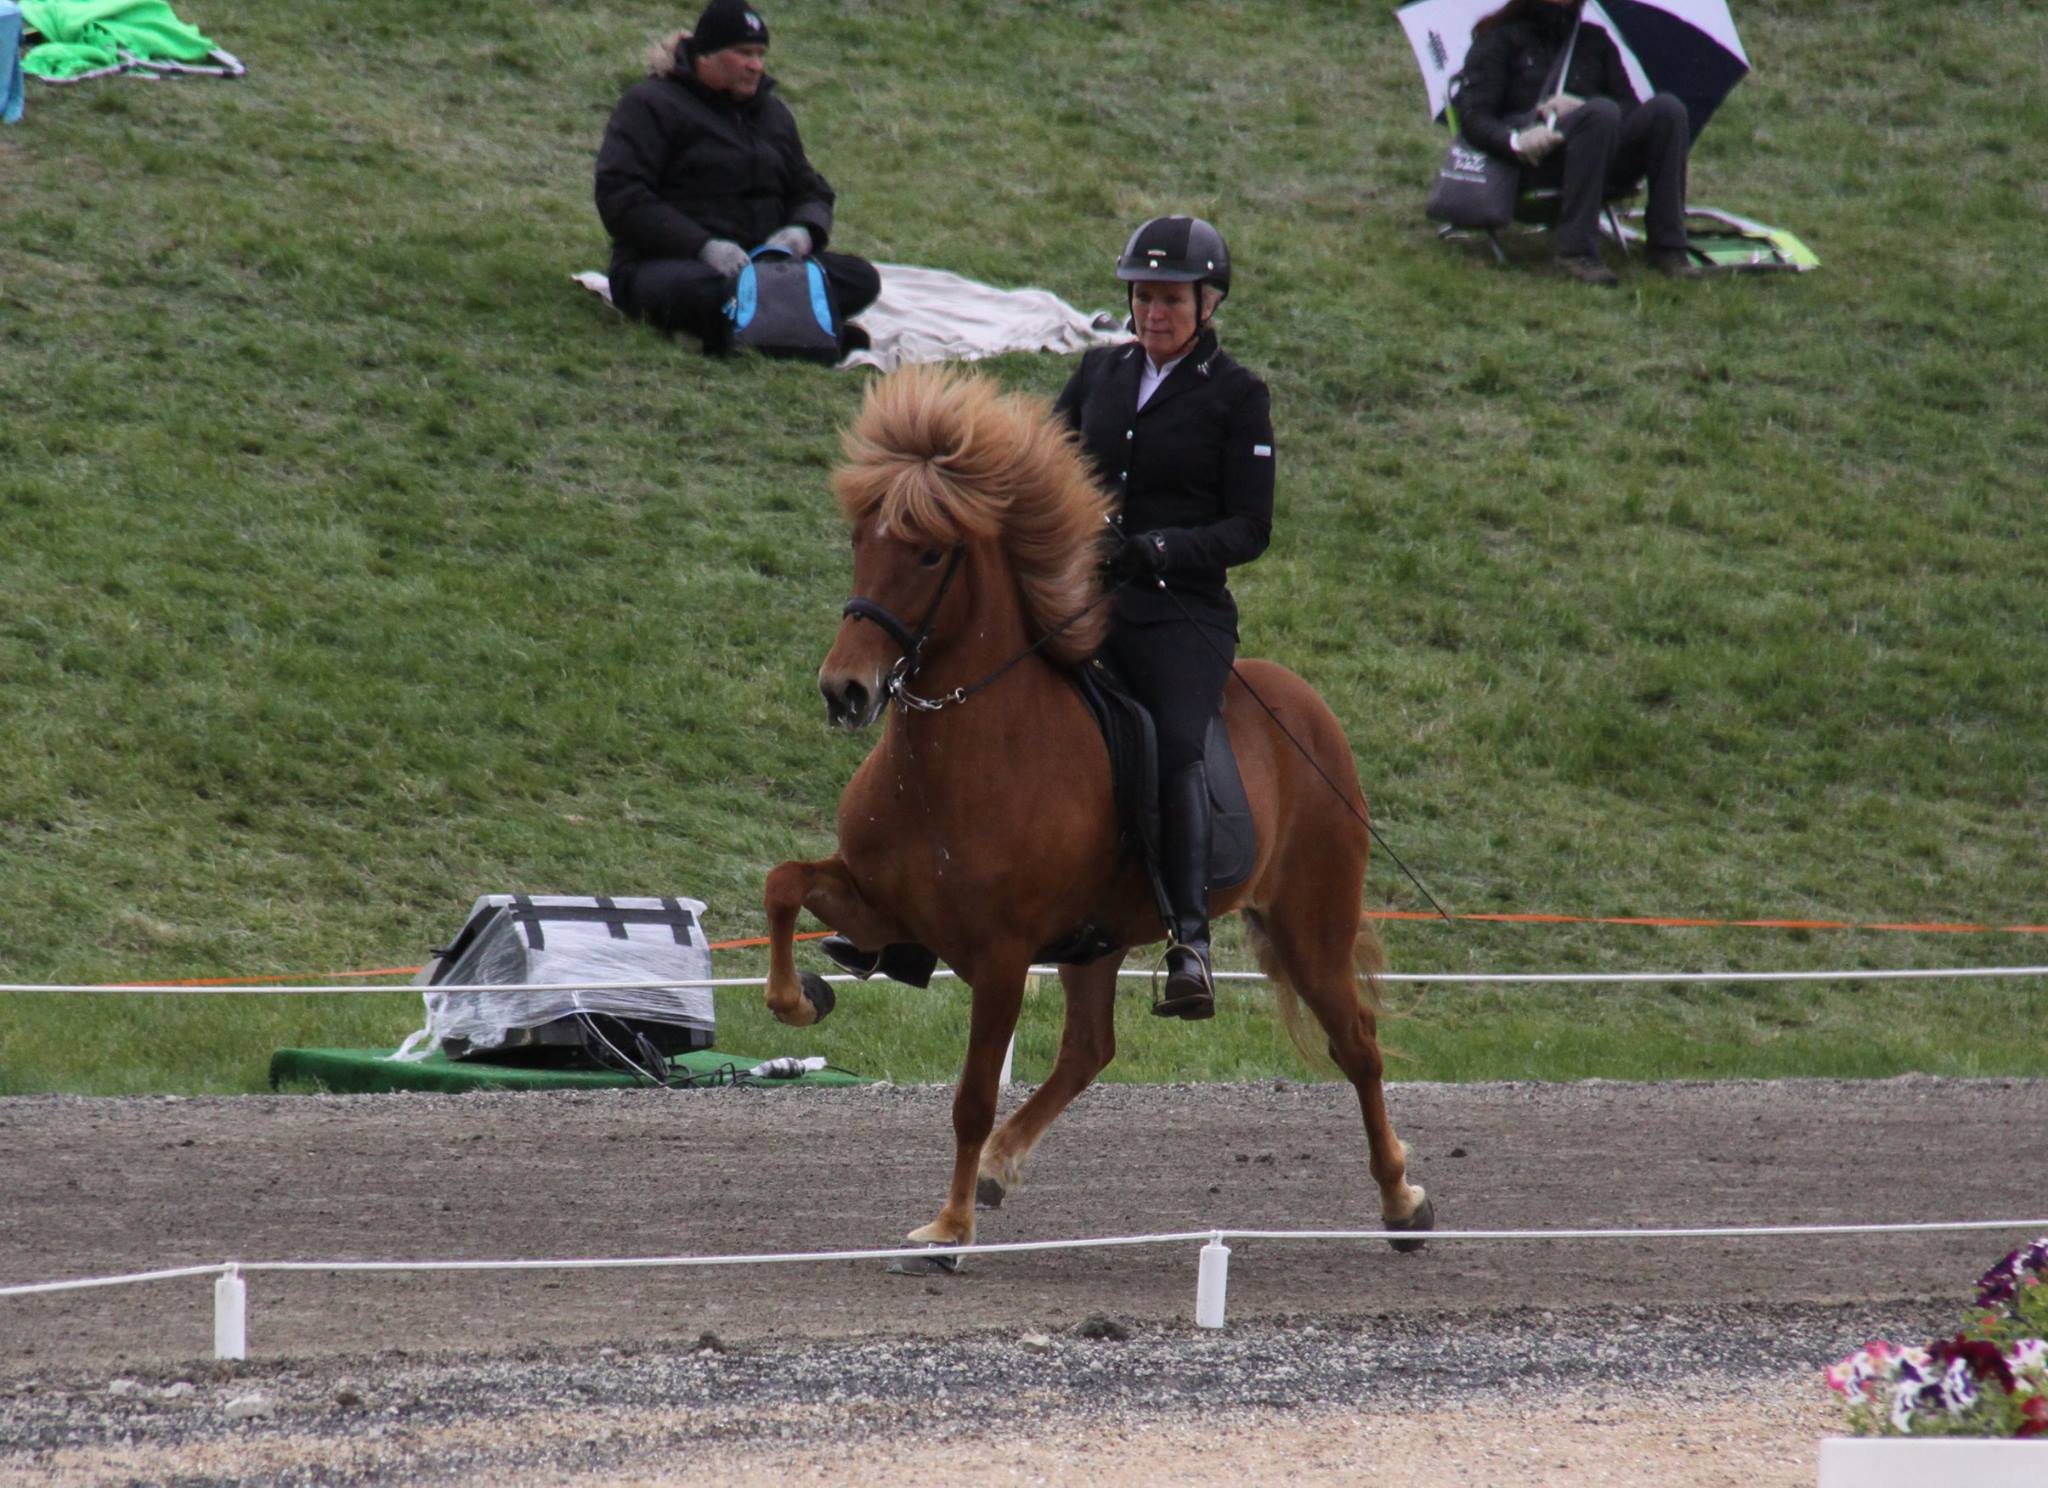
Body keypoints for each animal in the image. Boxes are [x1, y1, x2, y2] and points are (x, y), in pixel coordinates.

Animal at [761, 366, 1433, 1260]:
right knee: (1090, 1048)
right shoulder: (884, 909)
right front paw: (802, 998)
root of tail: (1306, 706)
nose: (846, 692)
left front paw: (947, 1229)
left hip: (1309, 924)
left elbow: (971, 1096)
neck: (956, 757)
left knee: (1357, 1046)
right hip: (1099, 942)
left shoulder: (1001, 956)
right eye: (859, 540)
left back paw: (1402, 1203)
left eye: (929, 550)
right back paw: (1002, 1165)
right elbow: (782, 884)